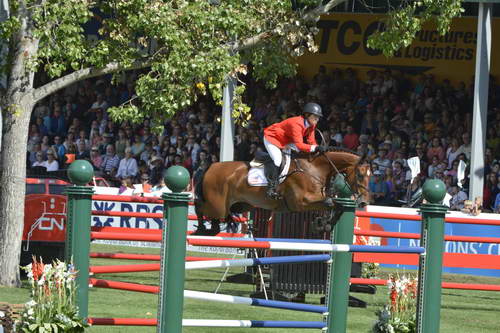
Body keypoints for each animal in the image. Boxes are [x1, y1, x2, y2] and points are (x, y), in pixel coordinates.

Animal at [193, 147, 370, 235]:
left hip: (240, 205)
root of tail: (211, 166)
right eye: (360, 175)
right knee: (200, 207)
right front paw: (322, 224)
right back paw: (202, 228)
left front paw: (323, 224)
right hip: (217, 205)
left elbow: (335, 205)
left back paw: (209, 229)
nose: (363, 202)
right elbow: (330, 202)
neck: (314, 169)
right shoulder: (301, 202)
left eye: (371, 176)